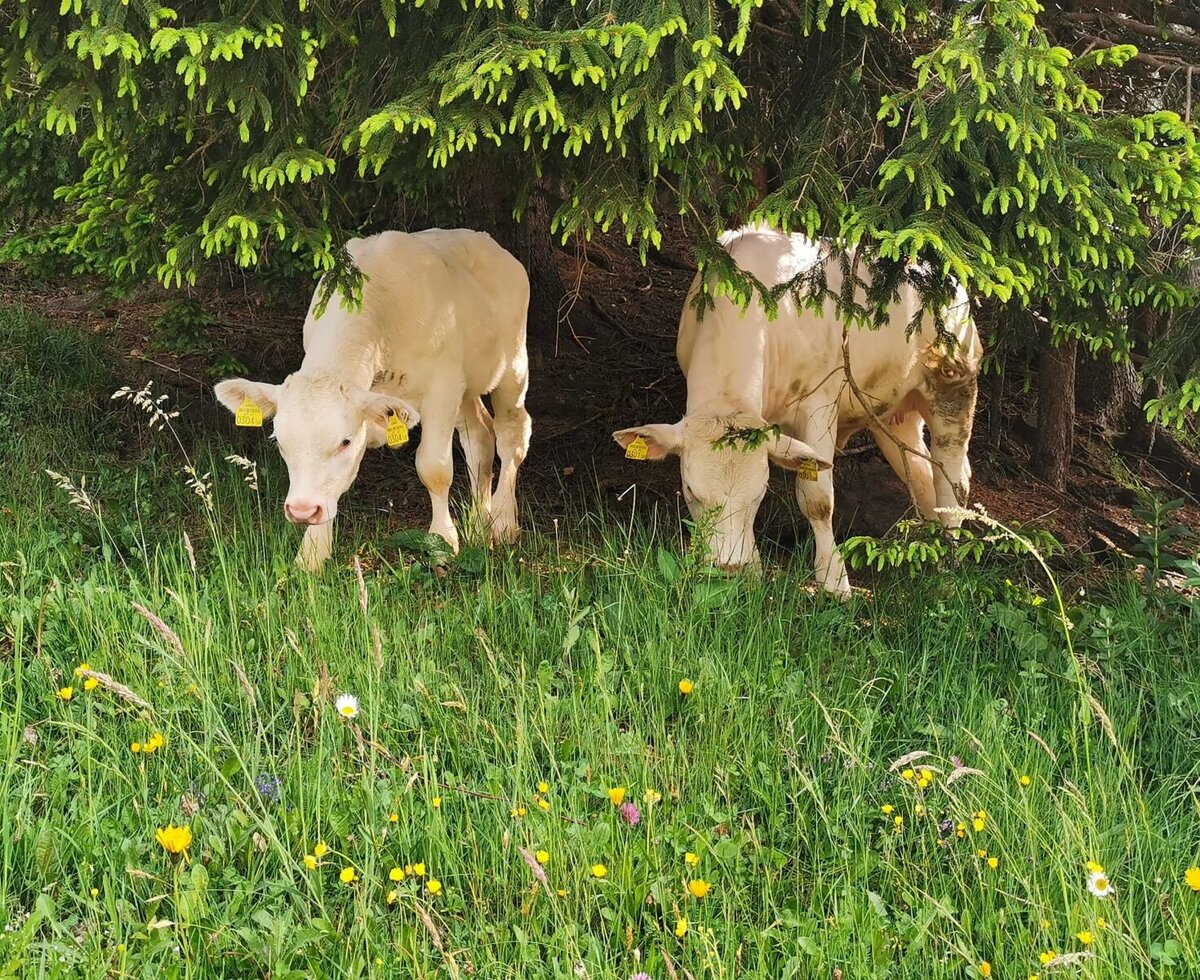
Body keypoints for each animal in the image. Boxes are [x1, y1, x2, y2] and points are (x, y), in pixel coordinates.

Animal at [214, 228, 532, 571]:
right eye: (279, 442)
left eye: (345, 442)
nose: (302, 510)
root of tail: (490, 244)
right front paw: (312, 554)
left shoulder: (442, 386)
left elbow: (434, 467)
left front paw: (443, 541)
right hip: (466, 386)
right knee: (479, 437)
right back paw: (478, 526)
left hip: (512, 364)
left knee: (511, 433)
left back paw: (503, 522)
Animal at [613, 225, 982, 596]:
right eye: (690, 490)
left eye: (760, 493)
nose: (728, 568)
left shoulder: (820, 402)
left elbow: (817, 499)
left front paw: (834, 579)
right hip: (893, 414)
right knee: (921, 475)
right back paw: (931, 553)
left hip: (955, 383)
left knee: (953, 479)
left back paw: (949, 569)